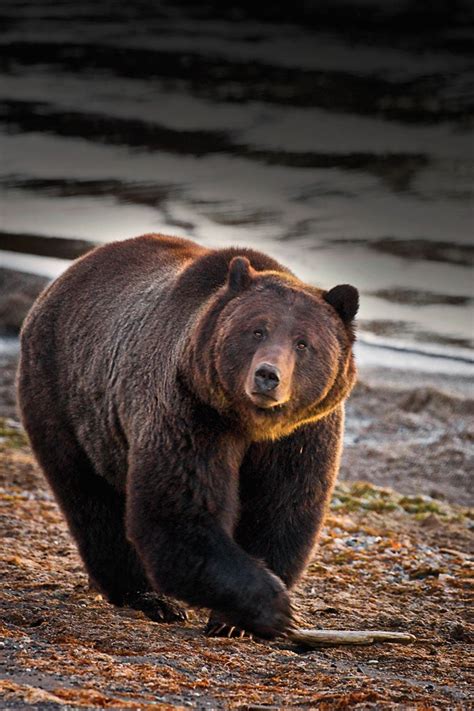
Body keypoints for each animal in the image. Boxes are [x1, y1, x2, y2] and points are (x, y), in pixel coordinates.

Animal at [17, 234, 360, 640]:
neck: (250, 423)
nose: (267, 375)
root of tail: (65, 277)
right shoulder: (191, 411)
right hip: (63, 395)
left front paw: (236, 620)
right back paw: (148, 597)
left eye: (303, 342)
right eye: (257, 330)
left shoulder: (302, 435)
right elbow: (180, 510)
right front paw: (272, 606)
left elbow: (283, 508)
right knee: (90, 500)